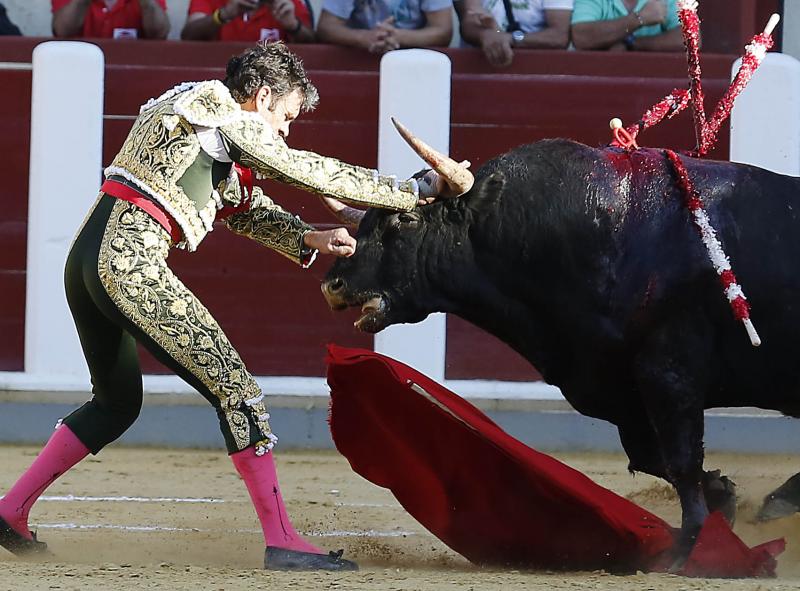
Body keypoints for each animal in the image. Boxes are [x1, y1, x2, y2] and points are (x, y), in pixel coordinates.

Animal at [322, 126, 800, 556]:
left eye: (406, 219)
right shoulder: (617, 387)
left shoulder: (669, 373)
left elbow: (681, 458)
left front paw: (692, 546)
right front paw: (722, 496)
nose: (332, 284)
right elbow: (652, 457)